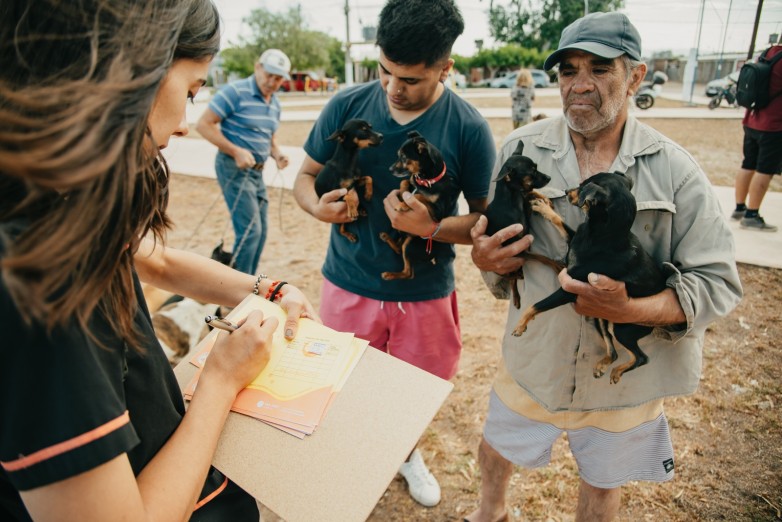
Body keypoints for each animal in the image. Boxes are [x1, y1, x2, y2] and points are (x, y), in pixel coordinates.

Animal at [486, 140, 572, 306]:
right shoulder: (519, 250)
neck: (513, 202)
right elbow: (542, 257)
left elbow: (530, 193)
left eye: (536, 167)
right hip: (506, 267)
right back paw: (516, 294)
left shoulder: (525, 206)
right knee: (511, 278)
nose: (549, 177)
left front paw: (545, 200)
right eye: (532, 173)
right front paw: (557, 265)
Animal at [516, 171, 668, 382]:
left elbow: (537, 304)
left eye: (582, 187)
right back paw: (603, 365)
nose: (566, 191)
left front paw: (521, 324)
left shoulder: (568, 289)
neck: (603, 235)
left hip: (623, 330)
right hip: (602, 319)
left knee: (641, 357)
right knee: (613, 351)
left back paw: (617, 372)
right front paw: (543, 207)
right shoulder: (573, 239)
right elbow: (560, 222)